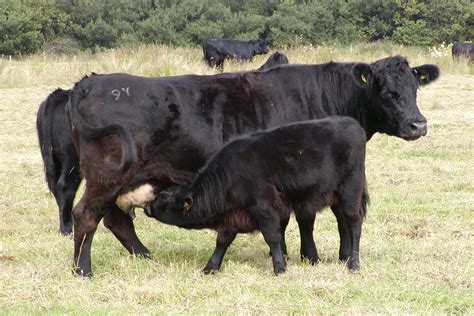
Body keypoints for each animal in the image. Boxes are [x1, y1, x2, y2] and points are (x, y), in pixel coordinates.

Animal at [36, 88, 81, 235]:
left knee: (55, 187)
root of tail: (59, 95)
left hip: (52, 159)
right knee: (65, 187)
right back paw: (67, 229)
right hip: (73, 160)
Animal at [146, 117, 368, 276]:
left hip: (351, 192)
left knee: (354, 224)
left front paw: (279, 268)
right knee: (343, 224)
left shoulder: (263, 206)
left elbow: (272, 237)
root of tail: (352, 124)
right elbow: (222, 241)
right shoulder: (232, 215)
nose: (146, 207)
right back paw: (344, 257)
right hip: (336, 197)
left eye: (163, 197)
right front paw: (210, 267)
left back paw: (354, 263)